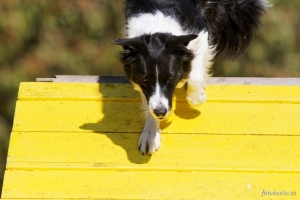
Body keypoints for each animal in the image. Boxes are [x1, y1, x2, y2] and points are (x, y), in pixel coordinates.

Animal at [114, 0, 270, 155]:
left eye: (170, 78)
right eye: (145, 80)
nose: (161, 112)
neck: (156, 27)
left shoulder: (200, 33)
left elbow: (195, 77)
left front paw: (198, 97)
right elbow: (149, 102)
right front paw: (150, 135)